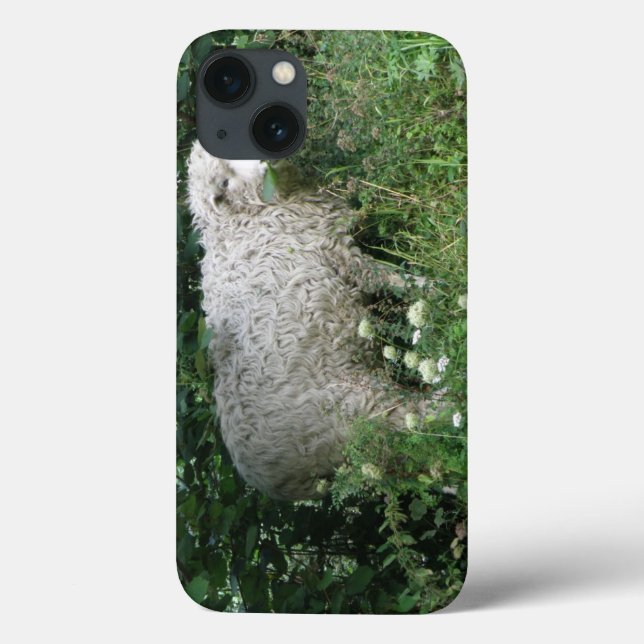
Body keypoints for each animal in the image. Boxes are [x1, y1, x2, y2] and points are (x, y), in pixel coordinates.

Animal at [187, 140, 425, 500]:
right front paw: (437, 288)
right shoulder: (340, 254)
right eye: (224, 182)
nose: (264, 159)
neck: (240, 222)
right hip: (360, 406)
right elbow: (395, 280)